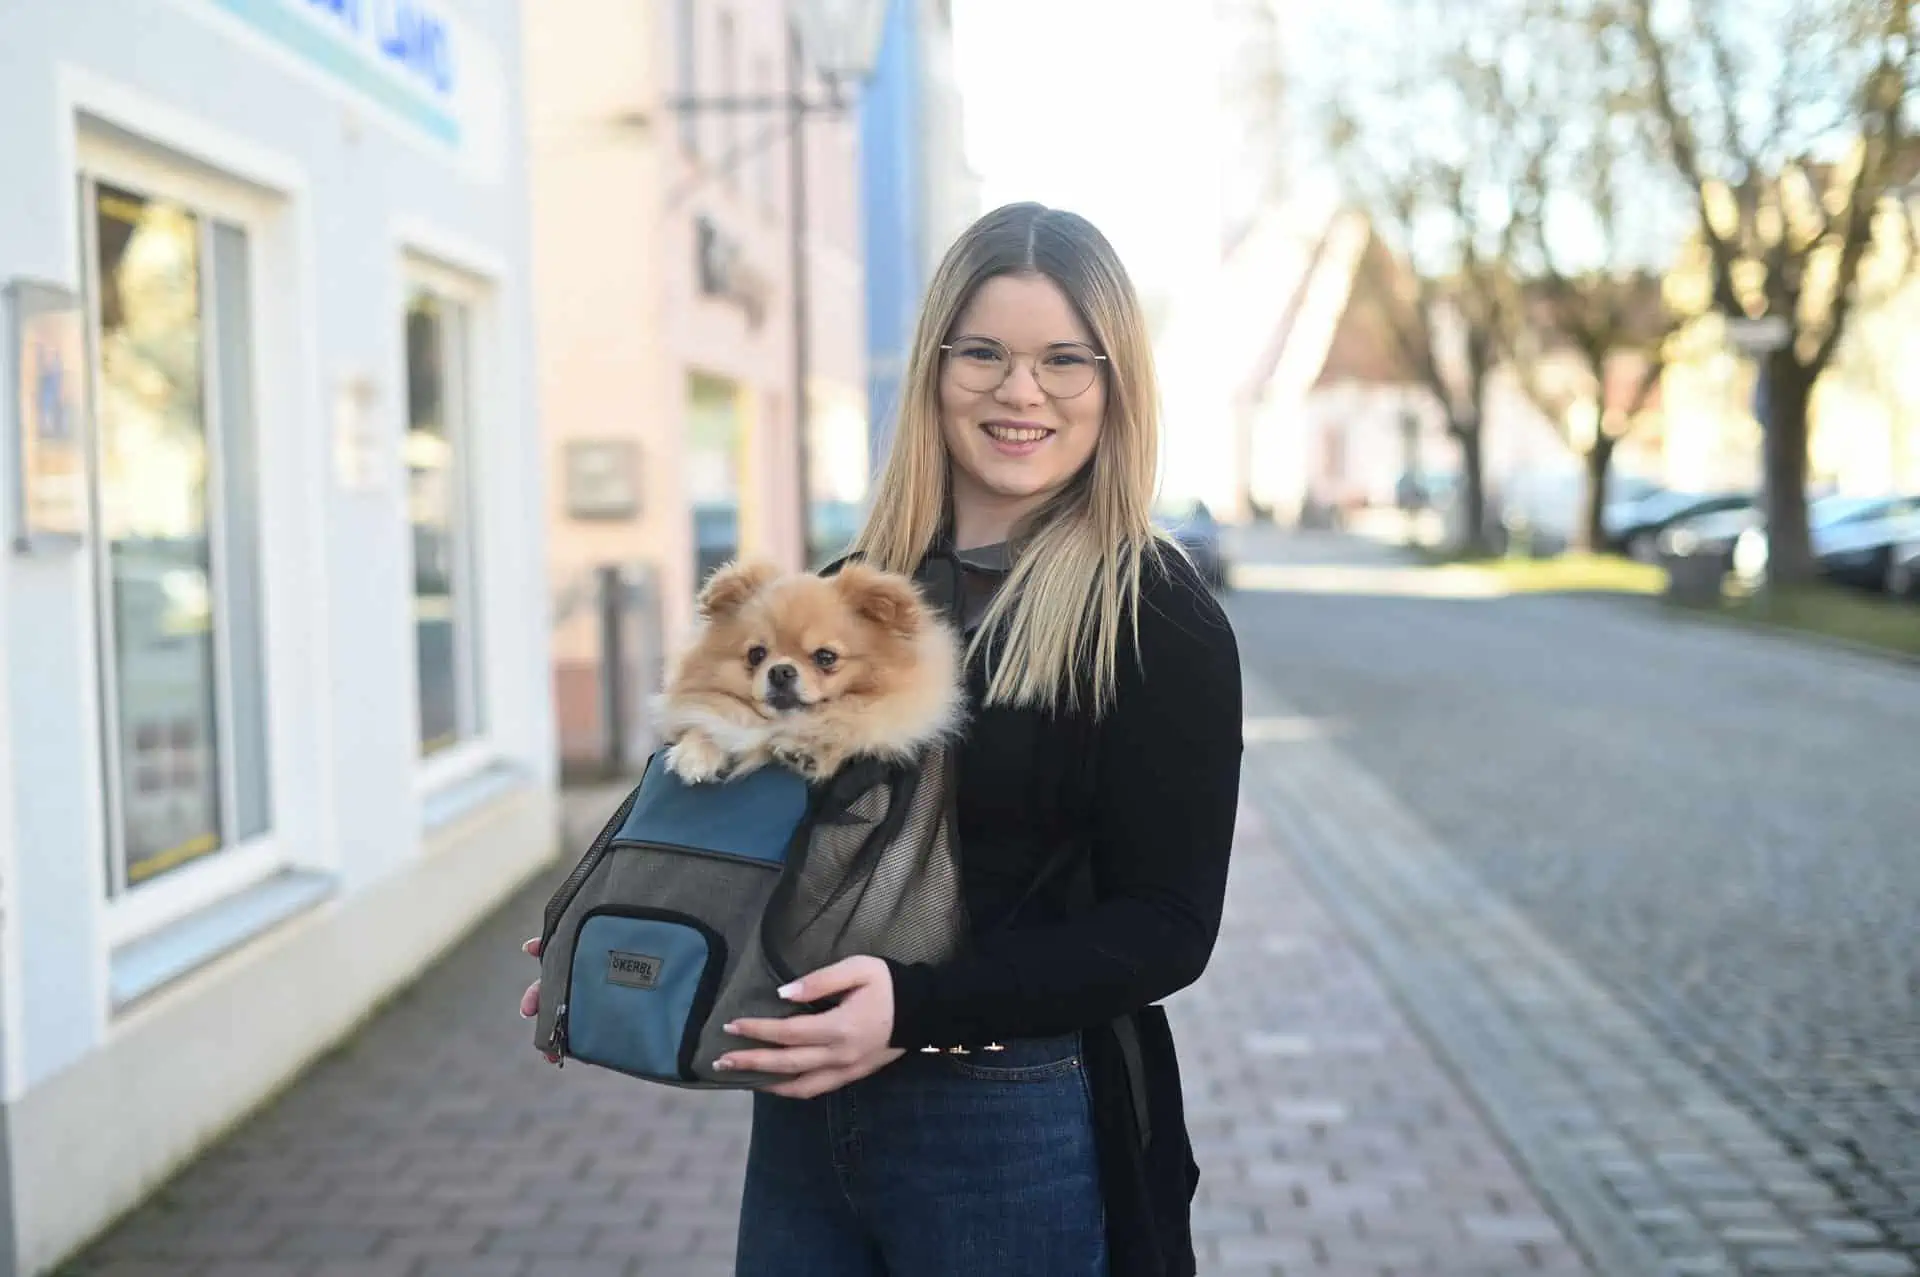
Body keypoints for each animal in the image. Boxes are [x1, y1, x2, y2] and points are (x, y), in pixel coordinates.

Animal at [660, 560, 967, 783]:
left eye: (825, 657)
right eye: (756, 654)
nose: (781, 671)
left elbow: (847, 727)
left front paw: (806, 749)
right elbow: (707, 723)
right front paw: (694, 753)